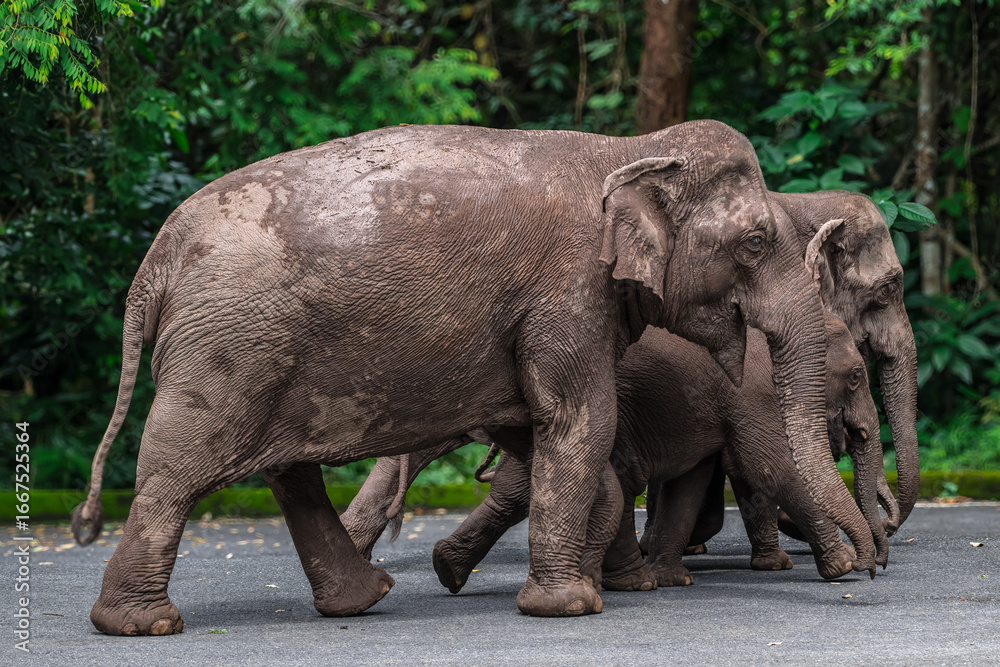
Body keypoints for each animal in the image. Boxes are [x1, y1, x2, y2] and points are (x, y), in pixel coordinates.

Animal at [341, 312, 887, 591]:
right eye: (856, 376)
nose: (877, 564)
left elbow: (692, 479)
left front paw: (673, 578)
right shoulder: (751, 390)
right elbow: (771, 466)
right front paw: (842, 568)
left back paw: (450, 570)